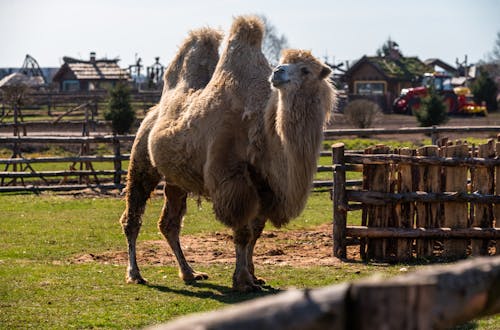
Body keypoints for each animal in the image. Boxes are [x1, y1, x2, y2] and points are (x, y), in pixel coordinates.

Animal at [119, 15, 336, 292]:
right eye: (284, 63)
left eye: (306, 69)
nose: (278, 72)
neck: (264, 132)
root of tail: (150, 114)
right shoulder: (233, 181)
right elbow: (242, 233)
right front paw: (242, 280)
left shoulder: (265, 187)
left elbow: (256, 232)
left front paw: (254, 276)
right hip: (141, 161)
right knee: (133, 216)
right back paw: (135, 273)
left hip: (176, 179)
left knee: (169, 224)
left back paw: (189, 273)